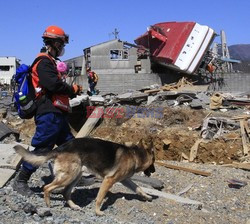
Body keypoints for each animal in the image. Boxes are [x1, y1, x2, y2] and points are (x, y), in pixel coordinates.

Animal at [13, 136, 155, 215]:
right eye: (153, 160)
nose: (153, 171)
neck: (135, 155)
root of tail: (60, 148)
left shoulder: (125, 180)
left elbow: (138, 188)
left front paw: (147, 196)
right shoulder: (108, 180)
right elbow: (99, 198)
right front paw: (98, 212)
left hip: (75, 176)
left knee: (65, 192)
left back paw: (73, 206)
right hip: (69, 177)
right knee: (47, 187)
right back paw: (48, 205)